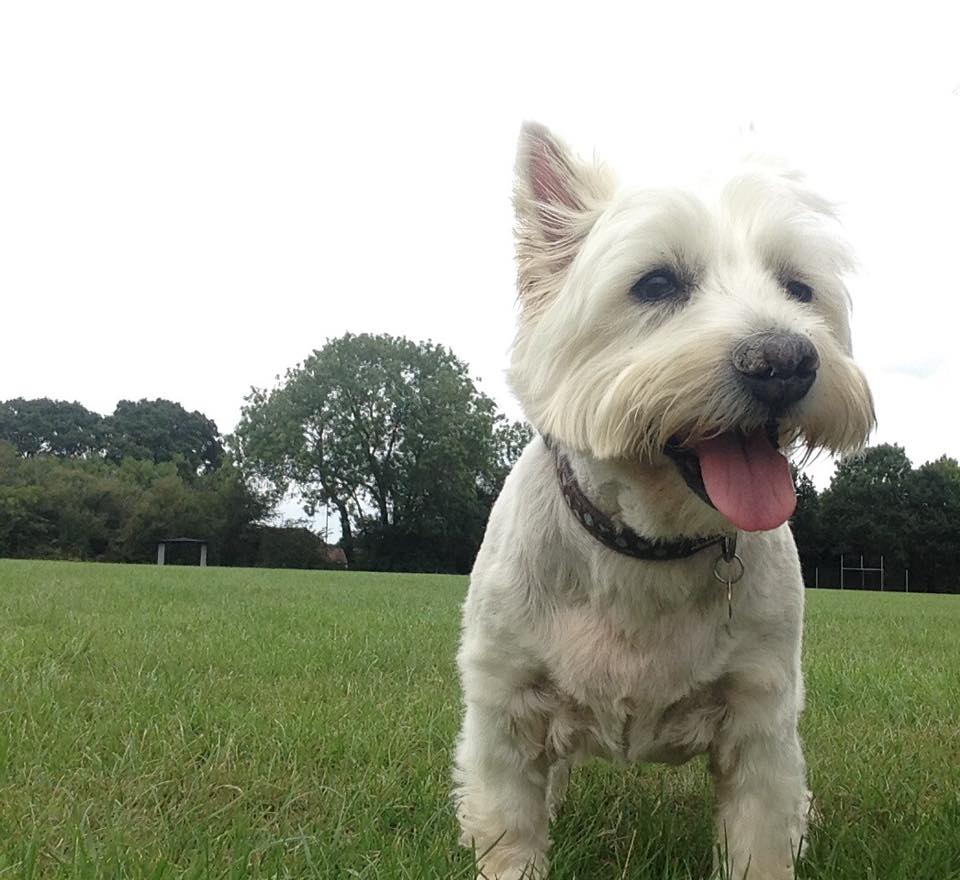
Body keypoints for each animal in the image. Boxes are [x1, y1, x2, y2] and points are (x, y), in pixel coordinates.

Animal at [454, 125, 872, 880]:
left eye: (799, 288)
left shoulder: (762, 719)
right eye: (655, 284)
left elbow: (760, 838)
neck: (648, 549)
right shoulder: (505, 711)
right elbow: (512, 832)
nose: (785, 360)